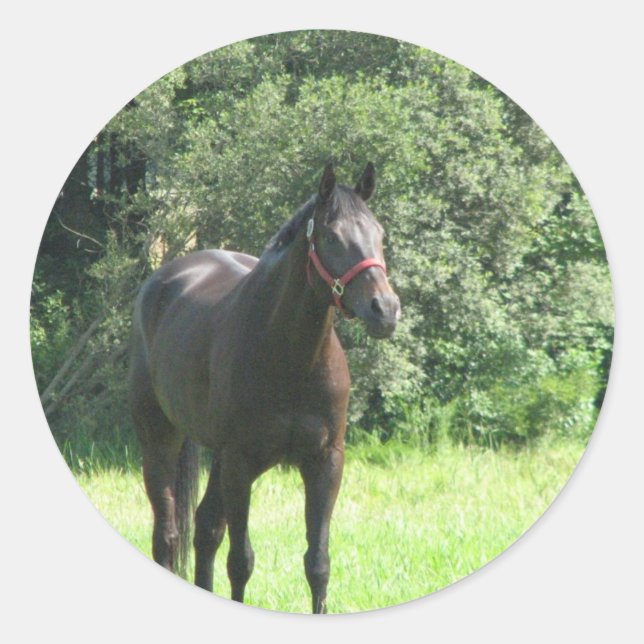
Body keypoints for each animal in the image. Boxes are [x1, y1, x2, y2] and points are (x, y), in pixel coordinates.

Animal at [128, 163, 401, 613]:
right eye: (332, 236)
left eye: (379, 233)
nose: (386, 310)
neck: (290, 357)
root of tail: (163, 279)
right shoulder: (241, 464)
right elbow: (241, 561)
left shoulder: (325, 462)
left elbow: (318, 563)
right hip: (161, 440)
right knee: (167, 534)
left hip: (219, 458)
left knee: (205, 529)